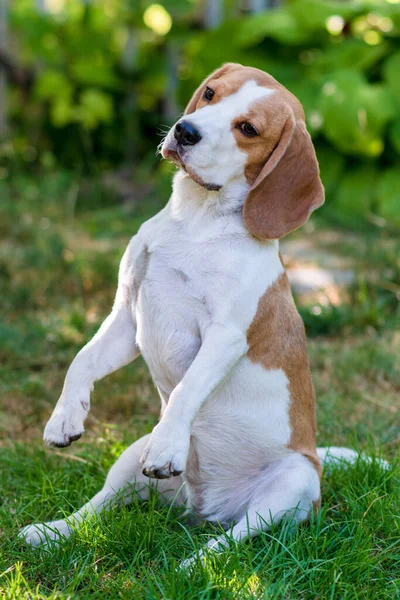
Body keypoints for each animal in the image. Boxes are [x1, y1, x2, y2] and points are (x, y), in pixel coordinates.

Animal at [18, 63, 358, 560]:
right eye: (211, 93)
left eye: (248, 128)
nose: (185, 130)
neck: (197, 220)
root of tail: (203, 510)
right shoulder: (127, 318)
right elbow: (80, 360)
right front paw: (65, 417)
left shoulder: (225, 335)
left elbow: (187, 389)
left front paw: (170, 448)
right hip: (128, 457)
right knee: (96, 509)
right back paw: (50, 531)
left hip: (292, 483)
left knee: (234, 540)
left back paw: (195, 564)